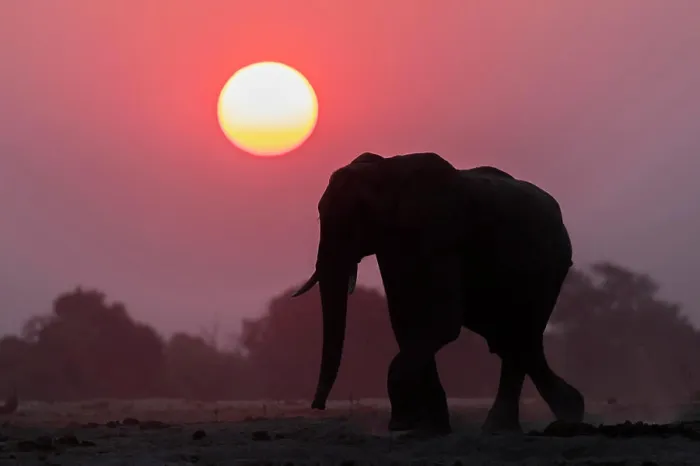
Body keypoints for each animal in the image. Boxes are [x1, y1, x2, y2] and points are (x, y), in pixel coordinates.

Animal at [292, 151, 585, 435]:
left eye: (360, 213)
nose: (318, 406)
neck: (387, 171)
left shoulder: (441, 233)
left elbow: (442, 323)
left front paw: (402, 424)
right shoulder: (392, 247)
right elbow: (405, 321)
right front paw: (431, 428)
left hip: (549, 268)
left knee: (520, 334)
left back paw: (507, 426)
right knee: (515, 340)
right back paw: (567, 412)